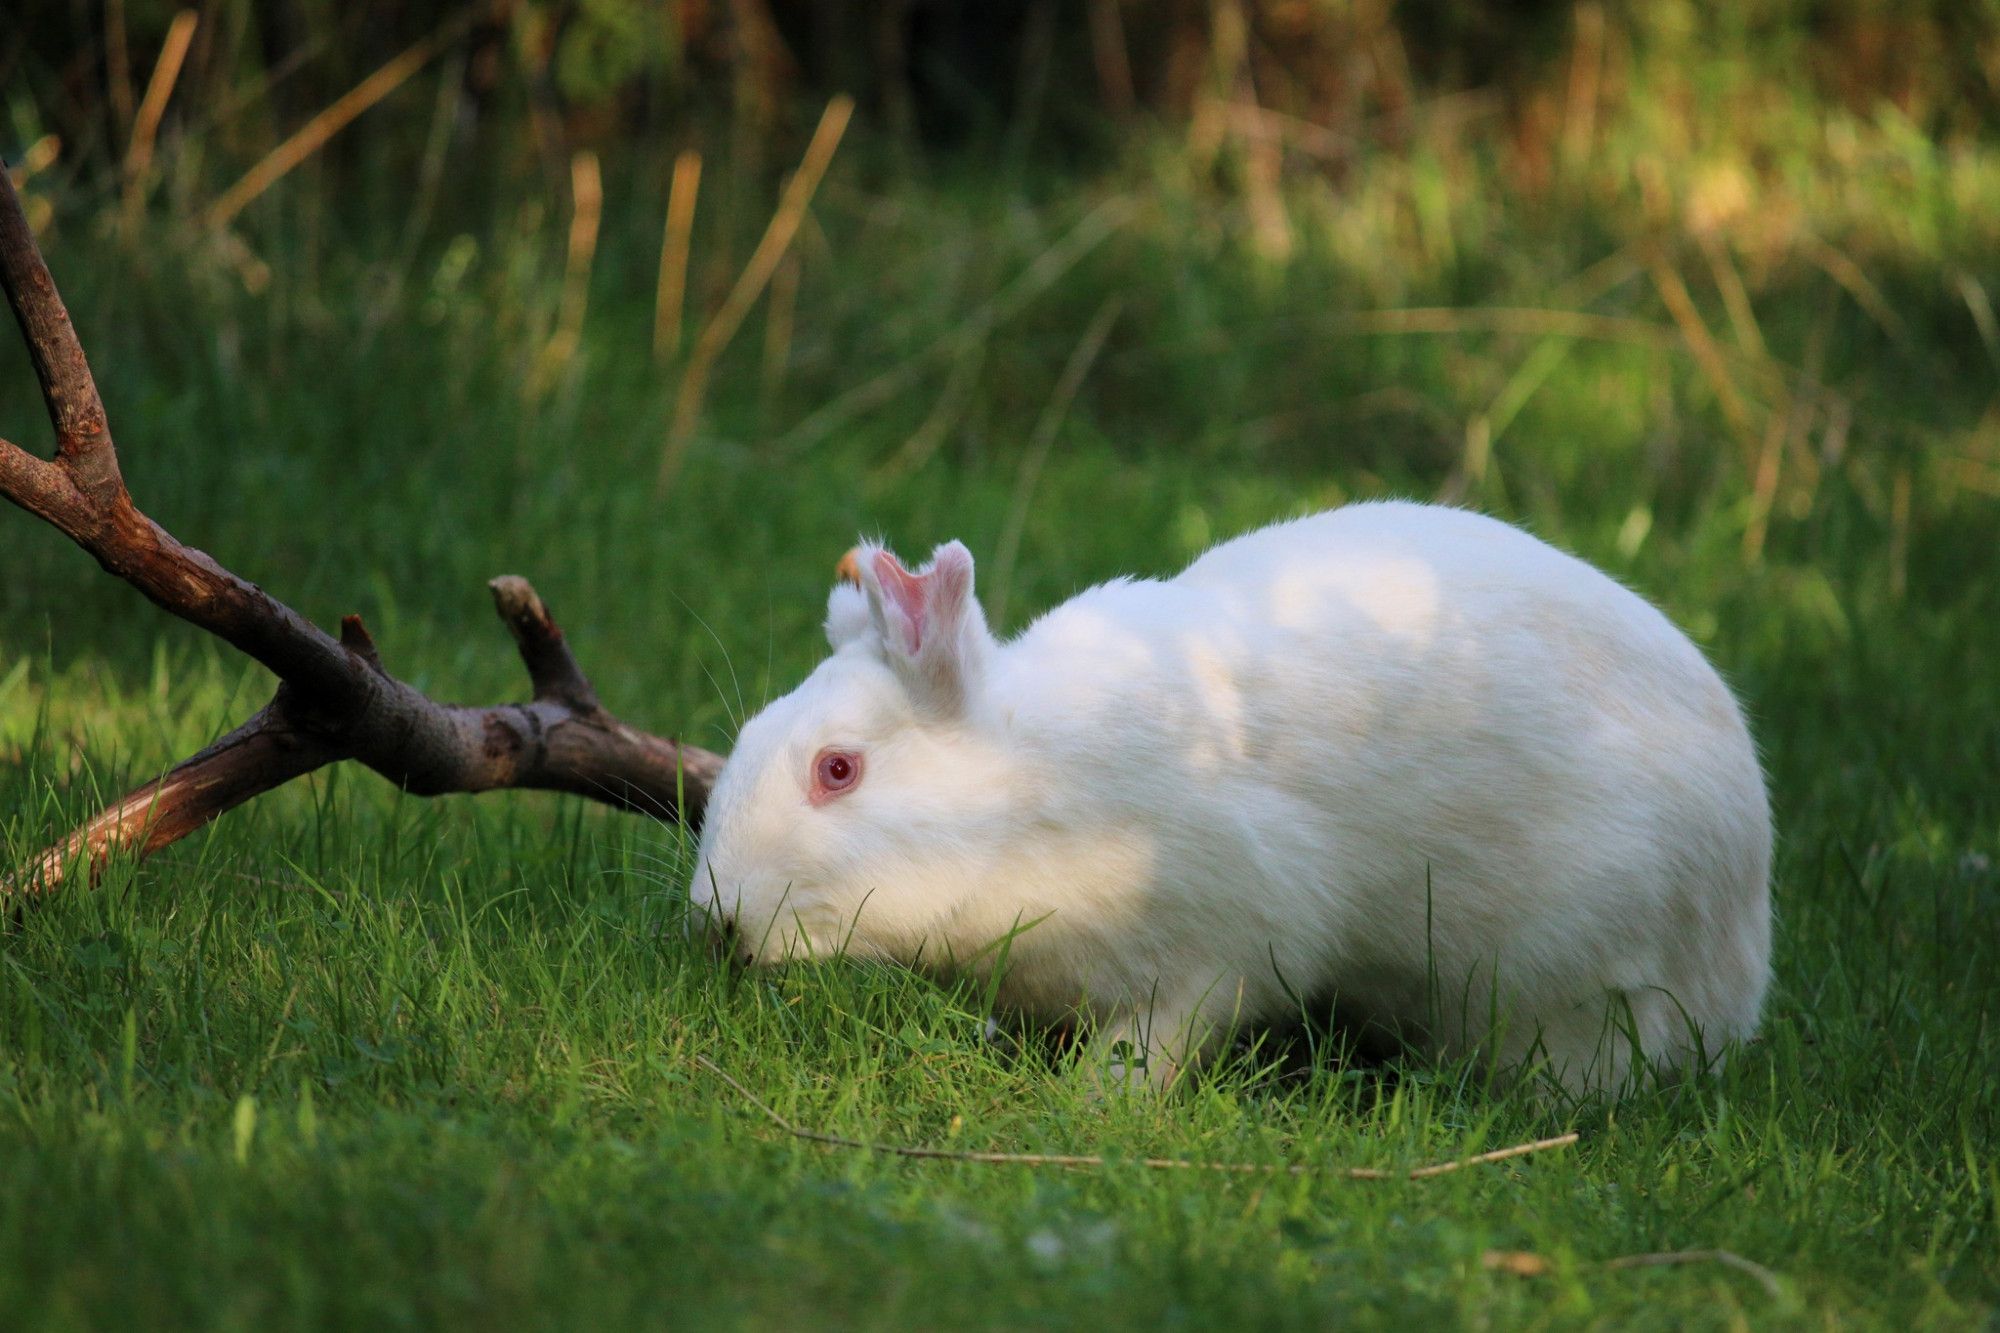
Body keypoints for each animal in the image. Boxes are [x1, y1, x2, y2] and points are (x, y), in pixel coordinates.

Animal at [688, 498, 1768, 1088]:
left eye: (837, 769)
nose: (714, 916)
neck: (1032, 785)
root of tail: (1744, 949)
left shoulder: (1212, 954)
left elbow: (1154, 1047)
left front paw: (1092, 1106)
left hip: (1585, 996)